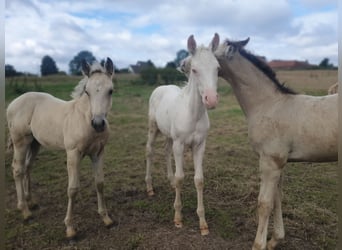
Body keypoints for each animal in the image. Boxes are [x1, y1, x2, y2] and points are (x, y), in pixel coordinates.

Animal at [6, 58, 115, 238]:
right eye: (87, 92)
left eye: (110, 91)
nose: (98, 124)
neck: (83, 119)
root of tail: (12, 104)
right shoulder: (73, 154)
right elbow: (73, 189)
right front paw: (70, 228)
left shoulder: (98, 153)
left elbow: (100, 183)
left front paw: (106, 218)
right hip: (20, 142)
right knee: (17, 169)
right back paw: (25, 211)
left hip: (35, 143)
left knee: (28, 166)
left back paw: (31, 201)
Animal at [144, 32, 219, 234]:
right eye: (194, 70)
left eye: (218, 68)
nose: (211, 100)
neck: (192, 114)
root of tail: (160, 88)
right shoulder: (180, 144)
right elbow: (180, 178)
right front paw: (178, 218)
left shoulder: (200, 145)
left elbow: (199, 180)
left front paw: (203, 223)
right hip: (153, 127)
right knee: (150, 150)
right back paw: (149, 187)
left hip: (169, 136)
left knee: (165, 150)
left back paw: (168, 181)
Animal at [215, 38, 338, 249]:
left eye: (210, 51)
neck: (268, 103)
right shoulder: (279, 163)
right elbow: (277, 198)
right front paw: (274, 240)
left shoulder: (270, 162)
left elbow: (265, 203)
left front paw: (259, 245)